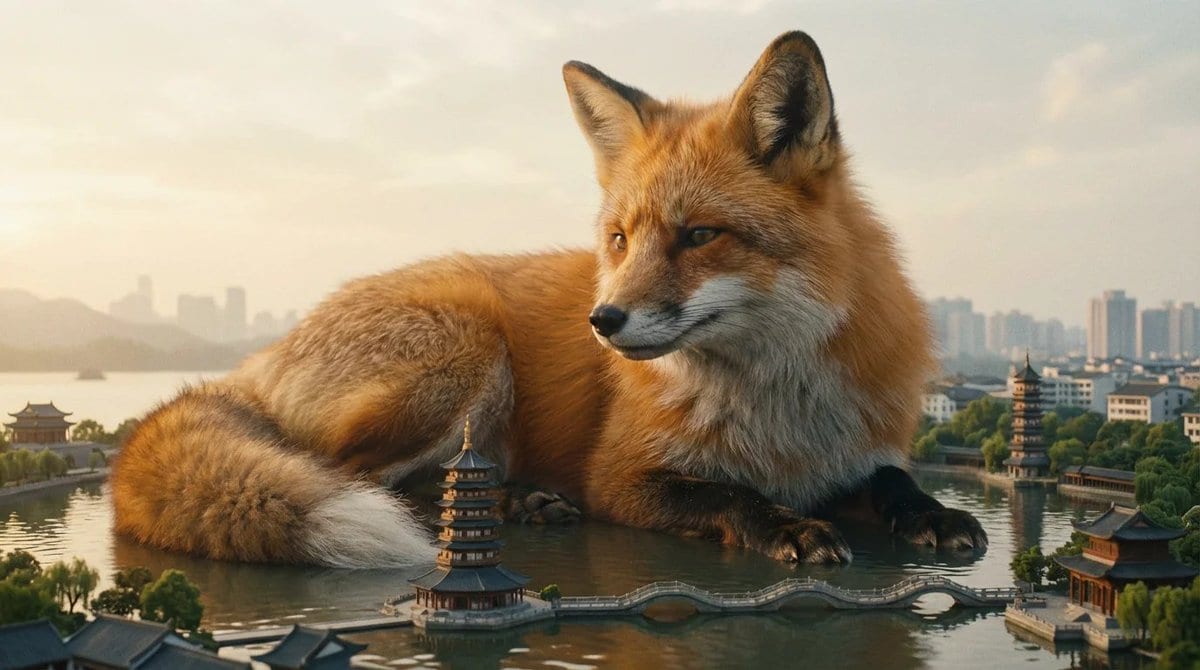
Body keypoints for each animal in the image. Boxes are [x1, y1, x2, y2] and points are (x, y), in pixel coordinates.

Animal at [112, 31, 987, 568]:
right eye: (621, 239)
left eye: (700, 236)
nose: (602, 321)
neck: (779, 404)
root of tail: (260, 358)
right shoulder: (622, 477)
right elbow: (727, 491)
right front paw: (787, 525)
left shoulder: (853, 451)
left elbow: (892, 481)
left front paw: (931, 513)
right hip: (468, 349)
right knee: (352, 477)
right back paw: (499, 503)